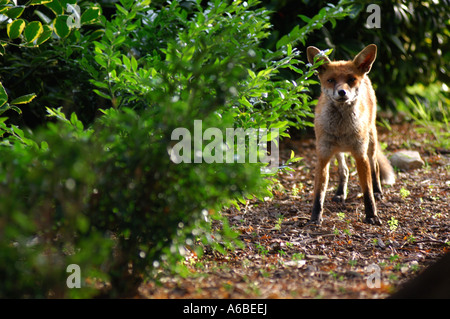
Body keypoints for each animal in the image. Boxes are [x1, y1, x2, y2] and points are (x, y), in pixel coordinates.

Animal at [306, 44, 394, 228]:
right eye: (331, 80)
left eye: (351, 79)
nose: (342, 92)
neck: (342, 128)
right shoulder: (323, 156)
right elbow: (318, 194)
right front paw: (315, 218)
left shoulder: (360, 155)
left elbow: (367, 191)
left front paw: (371, 215)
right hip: (338, 151)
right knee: (344, 171)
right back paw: (340, 193)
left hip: (371, 143)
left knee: (375, 167)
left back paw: (378, 191)